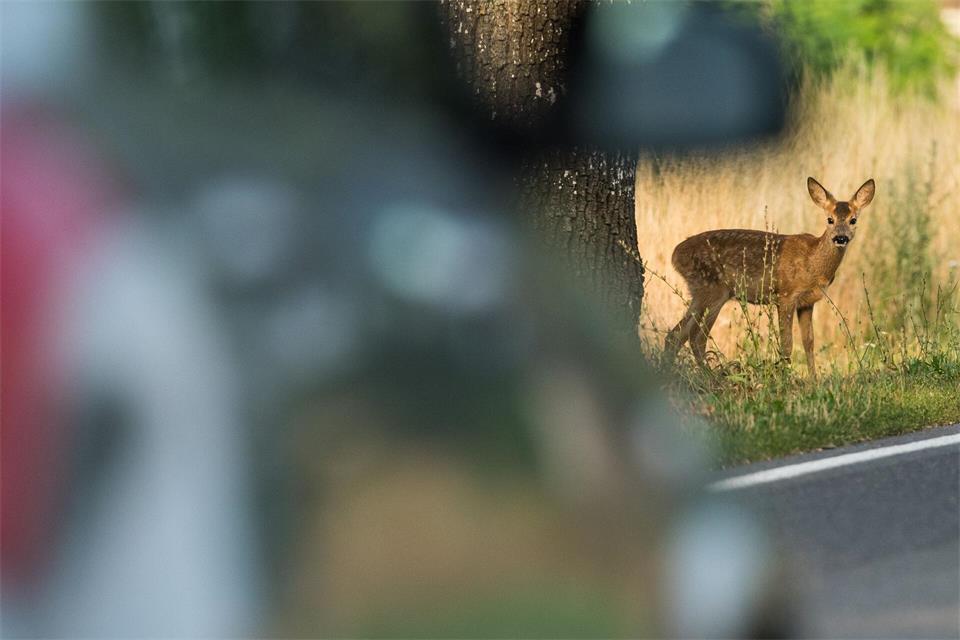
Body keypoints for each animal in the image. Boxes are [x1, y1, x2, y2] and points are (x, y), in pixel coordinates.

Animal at [663, 177, 875, 378]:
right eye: (830, 219)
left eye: (853, 220)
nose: (841, 238)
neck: (813, 262)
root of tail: (675, 255)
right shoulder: (786, 295)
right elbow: (787, 344)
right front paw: (785, 379)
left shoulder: (807, 302)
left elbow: (809, 342)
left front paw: (813, 382)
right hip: (713, 290)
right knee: (697, 338)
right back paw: (710, 377)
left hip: (699, 293)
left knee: (676, 335)